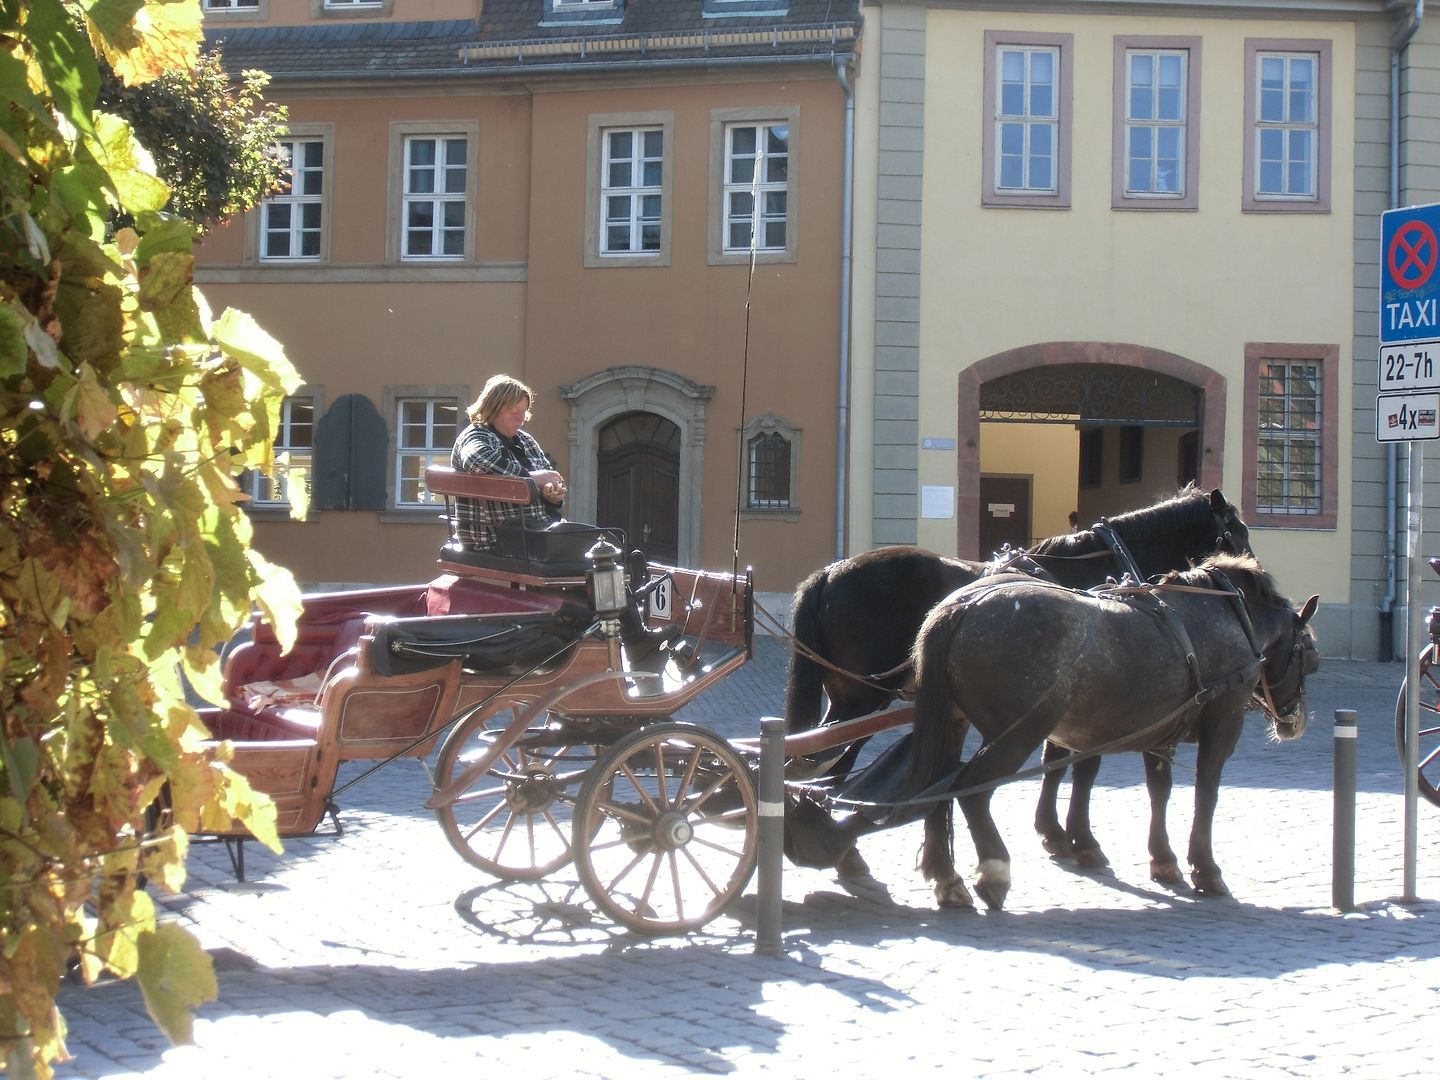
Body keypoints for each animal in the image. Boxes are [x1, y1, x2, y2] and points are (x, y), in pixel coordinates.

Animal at [789, 486, 1249, 875]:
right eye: (1237, 534)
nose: (1249, 574)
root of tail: (830, 573)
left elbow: (1057, 762)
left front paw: (1054, 832)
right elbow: (1080, 765)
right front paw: (1078, 839)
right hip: (862, 699)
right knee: (830, 765)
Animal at [910, 558, 1319, 915]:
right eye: (1309, 654)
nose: (1294, 722)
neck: (1225, 617)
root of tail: (962, 605)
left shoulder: (1158, 732)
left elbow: (1158, 792)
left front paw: (1163, 860)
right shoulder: (1222, 725)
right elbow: (1206, 793)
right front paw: (1205, 869)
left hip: (957, 725)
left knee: (937, 791)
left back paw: (947, 880)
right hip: (1017, 733)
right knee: (972, 791)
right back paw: (993, 872)